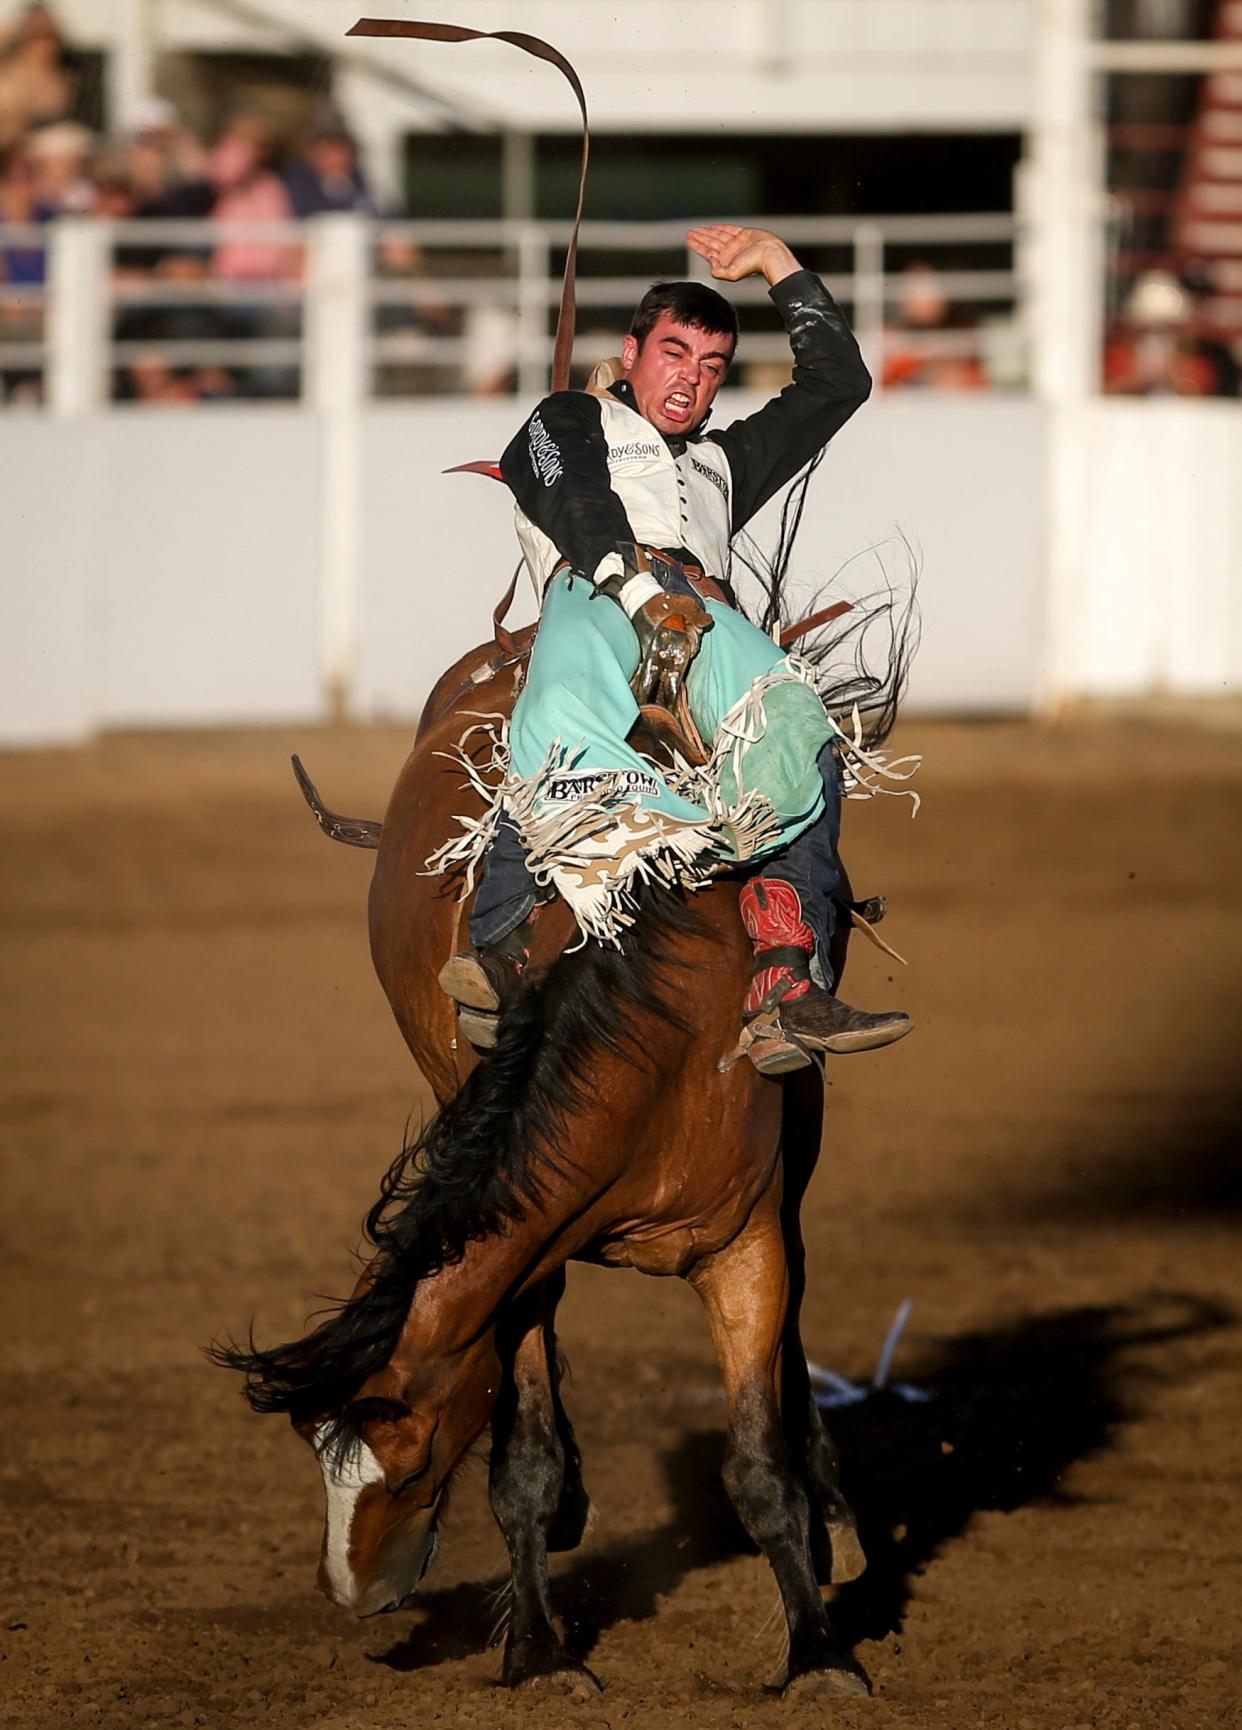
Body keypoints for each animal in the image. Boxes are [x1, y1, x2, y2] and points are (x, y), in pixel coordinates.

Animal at [214, 629, 871, 1695]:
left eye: (407, 1464)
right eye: (314, 1455)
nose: (350, 1595)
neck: (660, 1044)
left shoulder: (745, 1244)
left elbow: (757, 1464)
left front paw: (817, 1650)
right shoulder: (528, 1255)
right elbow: (521, 1455)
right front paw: (538, 1648)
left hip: (800, 1153)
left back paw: (836, 1523)